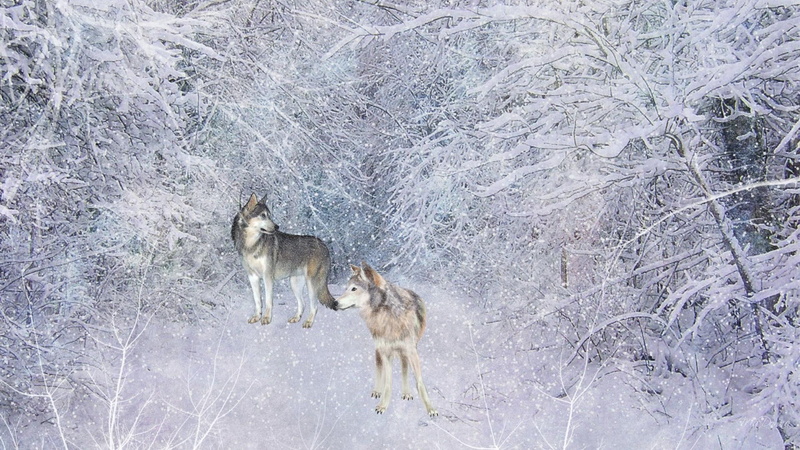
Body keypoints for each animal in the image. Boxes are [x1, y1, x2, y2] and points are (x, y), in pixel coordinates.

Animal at [231, 193, 337, 327]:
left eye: (269, 215)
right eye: (263, 215)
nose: (277, 226)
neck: (251, 245)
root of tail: (324, 245)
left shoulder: (267, 277)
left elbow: (268, 301)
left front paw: (266, 318)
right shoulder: (252, 277)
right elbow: (257, 300)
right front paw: (256, 317)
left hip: (311, 284)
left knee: (314, 306)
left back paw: (308, 322)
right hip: (294, 284)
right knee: (303, 304)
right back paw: (296, 318)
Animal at [334, 263, 437, 417]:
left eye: (353, 288)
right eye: (346, 288)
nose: (334, 303)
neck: (387, 314)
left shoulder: (411, 351)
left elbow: (419, 381)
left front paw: (430, 408)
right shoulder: (385, 352)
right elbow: (388, 381)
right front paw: (383, 405)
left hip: (404, 352)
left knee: (404, 368)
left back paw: (406, 393)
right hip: (379, 350)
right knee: (379, 369)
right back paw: (377, 391)